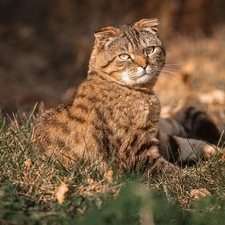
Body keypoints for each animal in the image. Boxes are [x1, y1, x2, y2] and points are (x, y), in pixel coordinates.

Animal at [34, 18, 222, 175]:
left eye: (149, 50)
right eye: (124, 56)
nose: (144, 65)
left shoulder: (157, 137)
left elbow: (191, 144)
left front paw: (218, 152)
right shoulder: (138, 154)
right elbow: (177, 173)